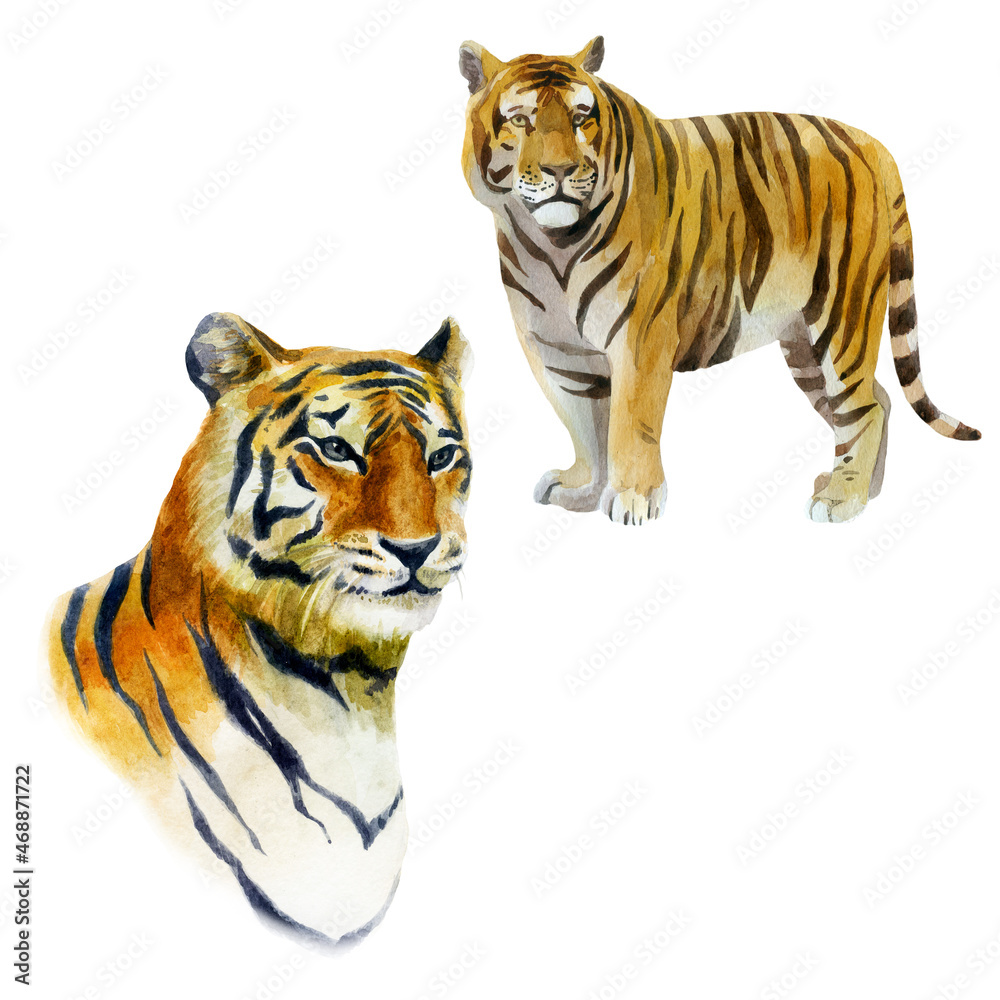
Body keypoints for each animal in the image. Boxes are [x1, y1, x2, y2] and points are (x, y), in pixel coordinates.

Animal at [459, 36, 980, 525]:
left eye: (581, 117)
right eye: (521, 120)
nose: (562, 169)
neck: (547, 243)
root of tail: (871, 143)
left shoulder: (639, 338)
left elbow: (630, 422)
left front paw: (633, 501)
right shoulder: (556, 351)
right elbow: (585, 423)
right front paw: (583, 490)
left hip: (842, 316)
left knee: (863, 409)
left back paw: (842, 499)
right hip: (803, 342)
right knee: (880, 400)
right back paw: (863, 490)